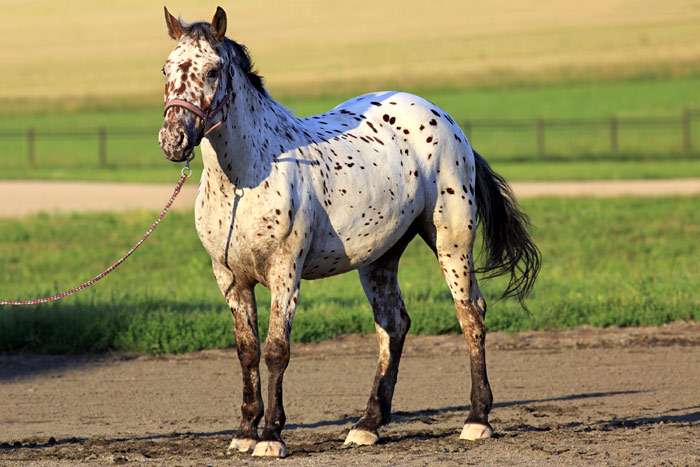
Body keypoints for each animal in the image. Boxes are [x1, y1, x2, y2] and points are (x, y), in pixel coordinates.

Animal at [159, 6, 540, 460]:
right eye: (166, 69)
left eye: (213, 70)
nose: (174, 139)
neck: (248, 176)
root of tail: (445, 120)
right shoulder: (230, 278)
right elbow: (247, 350)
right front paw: (245, 432)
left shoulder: (285, 273)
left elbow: (276, 350)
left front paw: (271, 437)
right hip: (380, 258)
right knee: (393, 324)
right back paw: (367, 425)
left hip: (451, 242)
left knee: (470, 314)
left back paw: (477, 419)